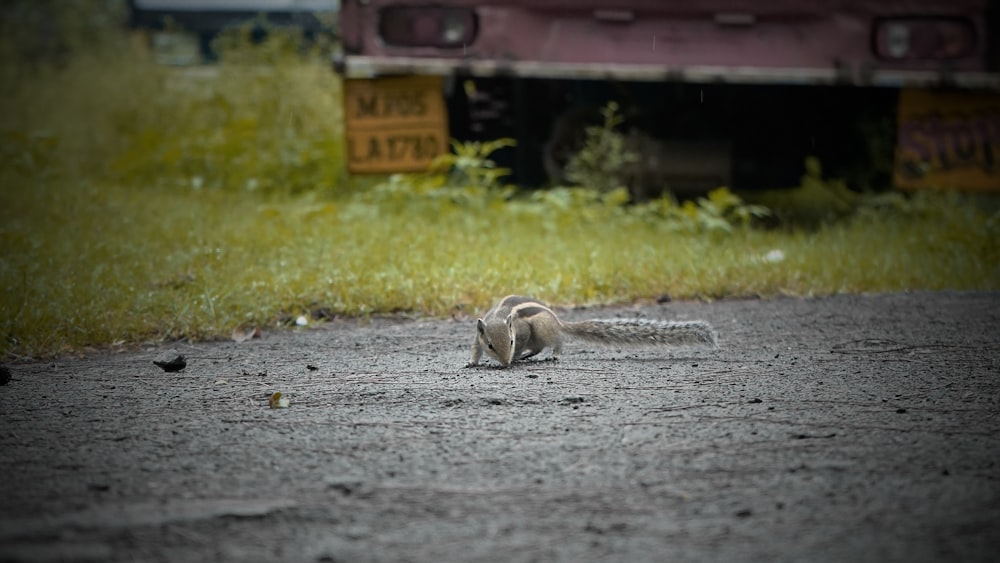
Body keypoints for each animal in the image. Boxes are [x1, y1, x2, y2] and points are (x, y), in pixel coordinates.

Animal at [468, 296, 720, 370]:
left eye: (510, 341)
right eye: (490, 345)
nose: (505, 365)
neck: (500, 316)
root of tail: (559, 322)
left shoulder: (521, 333)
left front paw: (515, 357)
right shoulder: (477, 338)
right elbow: (475, 350)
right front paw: (471, 363)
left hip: (542, 329)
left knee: (555, 343)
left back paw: (550, 355)